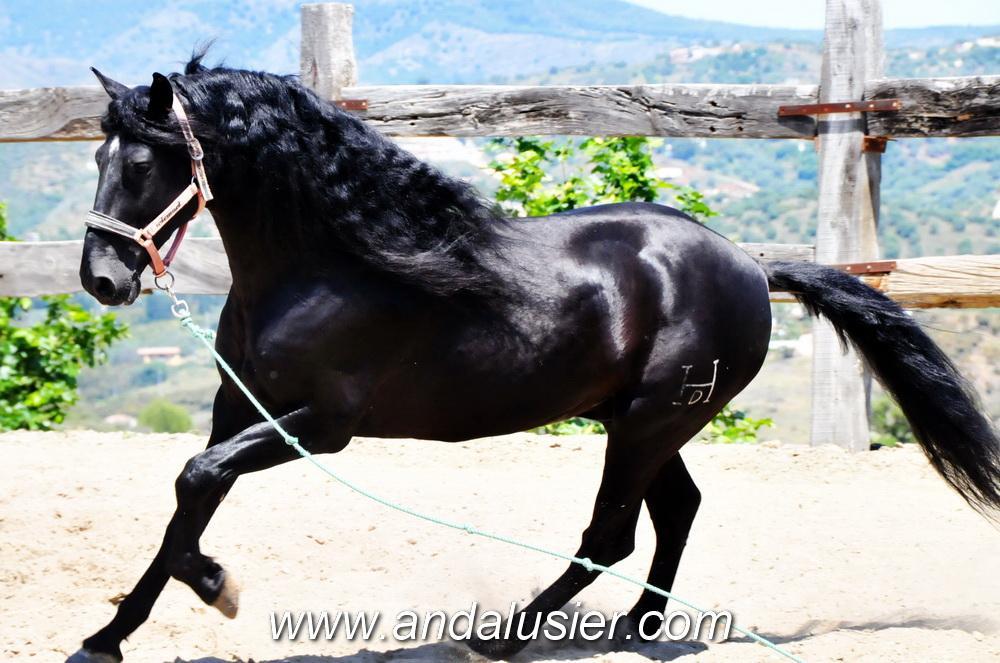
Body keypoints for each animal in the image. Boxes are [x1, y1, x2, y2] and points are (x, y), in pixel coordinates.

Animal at [71, 56, 1000, 662]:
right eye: (98, 156)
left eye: (145, 162)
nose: (102, 277)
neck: (324, 265)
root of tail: (749, 264)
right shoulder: (242, 410)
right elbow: (189, 499)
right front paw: (111, 634)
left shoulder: (321, 426)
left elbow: (196, 482)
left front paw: (215, 587)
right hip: (644, 423)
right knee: (677, 509)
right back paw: (637, 631)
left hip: (648, 422)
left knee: (613, 531)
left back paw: (503, 637)